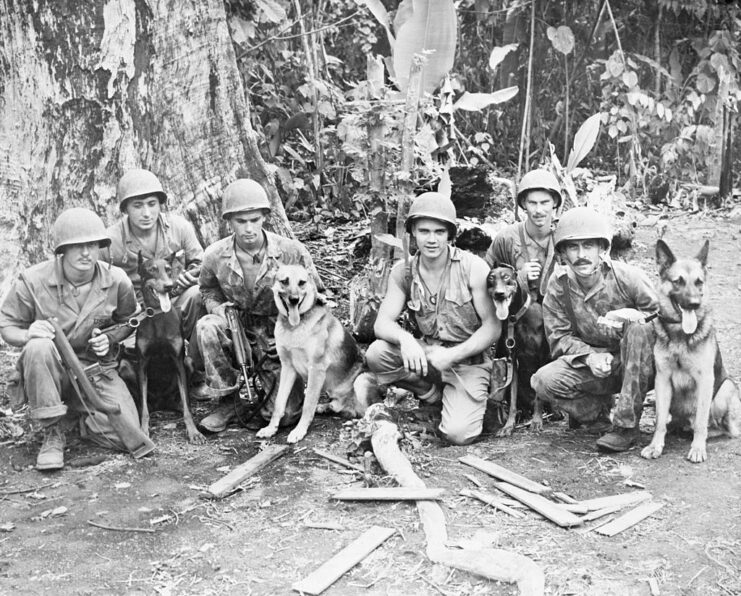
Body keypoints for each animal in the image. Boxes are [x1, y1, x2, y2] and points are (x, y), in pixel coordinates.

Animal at [136, 251, 204, 442]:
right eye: (152, 269)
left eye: (168, 269)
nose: (169, 286)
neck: (158, 314)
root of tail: (162, 404)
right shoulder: (142, 363)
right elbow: (144, 408)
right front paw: (143, 430)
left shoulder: (178, 361)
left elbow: (187, 406)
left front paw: (193, 432)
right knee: (145, 406)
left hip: (189, 363)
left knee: (183, 402)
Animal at [256, 264, 382, 442]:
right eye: (284, 281)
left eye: (302, 282)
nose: (294, 299)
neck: (295, 327)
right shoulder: (287, 368)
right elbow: (279, 403)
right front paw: (270, 428)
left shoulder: (316, 368)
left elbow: (308, 404)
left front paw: (299, 431)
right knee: (338, 406)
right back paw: (324, 407)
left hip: (361, 380)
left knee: (371, 409)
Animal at [486, 264, 548, 436]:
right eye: (491, 278)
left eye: (506, 277)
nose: (499, 294)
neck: (515, 318)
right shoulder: (512, 360)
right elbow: (513, 400)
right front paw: (508, 426)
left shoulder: (541, 356)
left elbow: (539, 398)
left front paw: (537, 421)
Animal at [640, 240, 740, 464]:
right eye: (678, 281)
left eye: (699, 282)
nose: (694, 303)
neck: (680, 334)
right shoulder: (662, 379)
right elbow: (659, 421)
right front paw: (655, 446)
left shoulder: (705, 380)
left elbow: (701, 421)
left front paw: (697, 448)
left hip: (725, 389)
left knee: (722, 428)